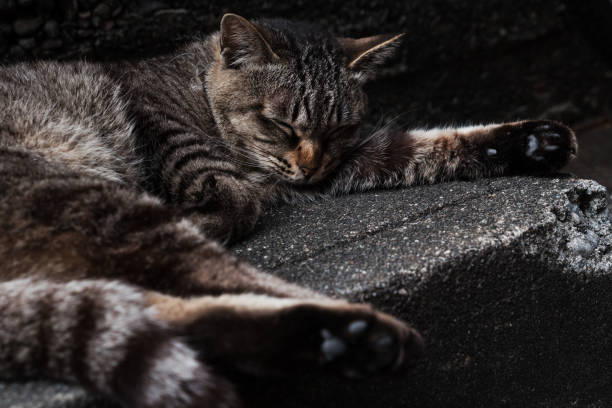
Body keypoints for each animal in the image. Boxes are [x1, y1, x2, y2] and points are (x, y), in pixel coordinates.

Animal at [0, 12, 580, 408]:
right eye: (280, 124)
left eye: (340, 128)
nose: (309, 165)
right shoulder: (166, 127)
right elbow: (235, 197)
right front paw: (210, 209)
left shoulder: (347, 160)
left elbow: (424, 145)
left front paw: (531, 141)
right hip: (93, 201)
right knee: (198, 279)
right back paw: (354, 331)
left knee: (162, 308)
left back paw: (340, 340)